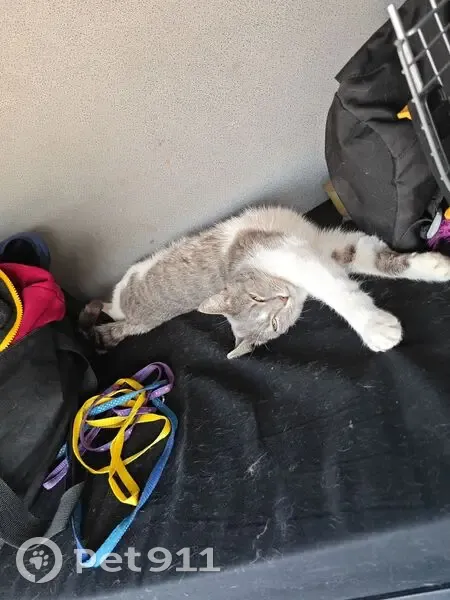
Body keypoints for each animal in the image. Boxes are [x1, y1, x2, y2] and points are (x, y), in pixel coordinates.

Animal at [79, 205, 450, 358]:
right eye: (273, 323)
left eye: (257, 299)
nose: (284, 300)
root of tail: (129, 318)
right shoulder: (294, 256)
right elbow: (336, 289)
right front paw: (374, 328)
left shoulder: (320, 247)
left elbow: (378, 259)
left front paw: (433, 265)